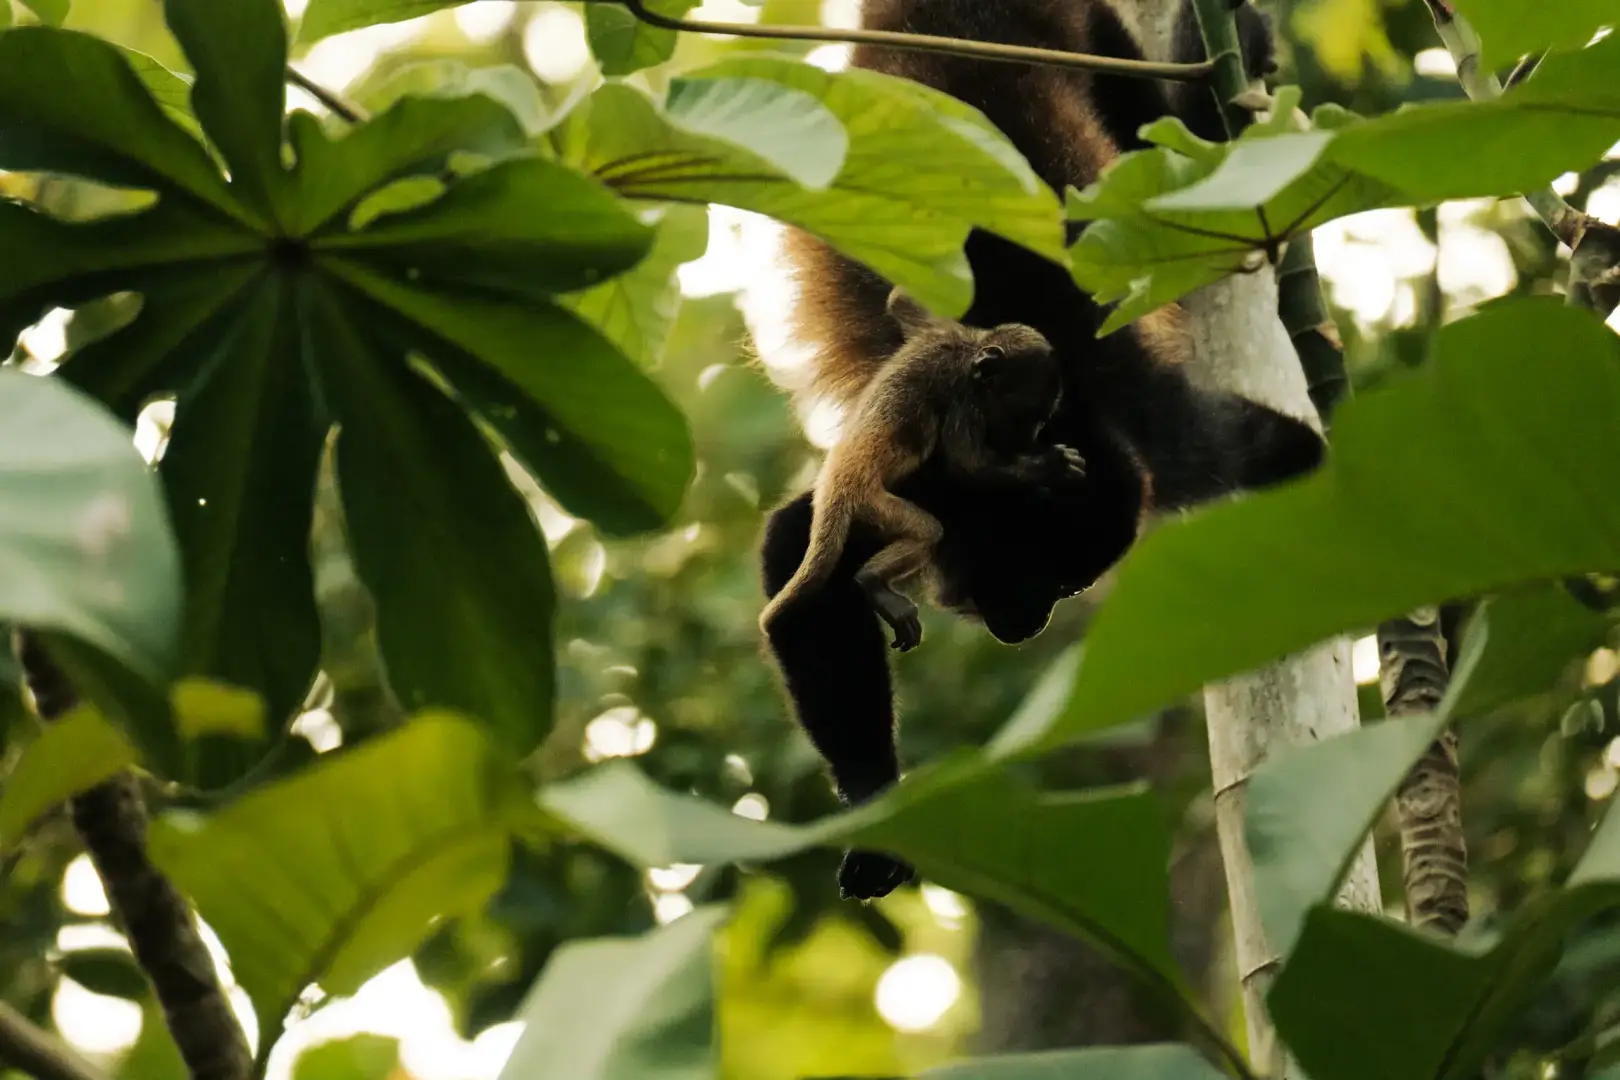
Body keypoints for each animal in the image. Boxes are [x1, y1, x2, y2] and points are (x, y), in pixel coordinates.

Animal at [760, 288, 1084, 654]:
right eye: (1023, 417)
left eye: (1040, 420)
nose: (1028, 439)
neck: (971, 354)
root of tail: (832, 487)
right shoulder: (963, 400)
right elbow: (967, 466)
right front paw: (1051, 467)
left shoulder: (945, 333)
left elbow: (900, 302)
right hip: (869, 503)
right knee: (926, 532)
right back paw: (871, 581)